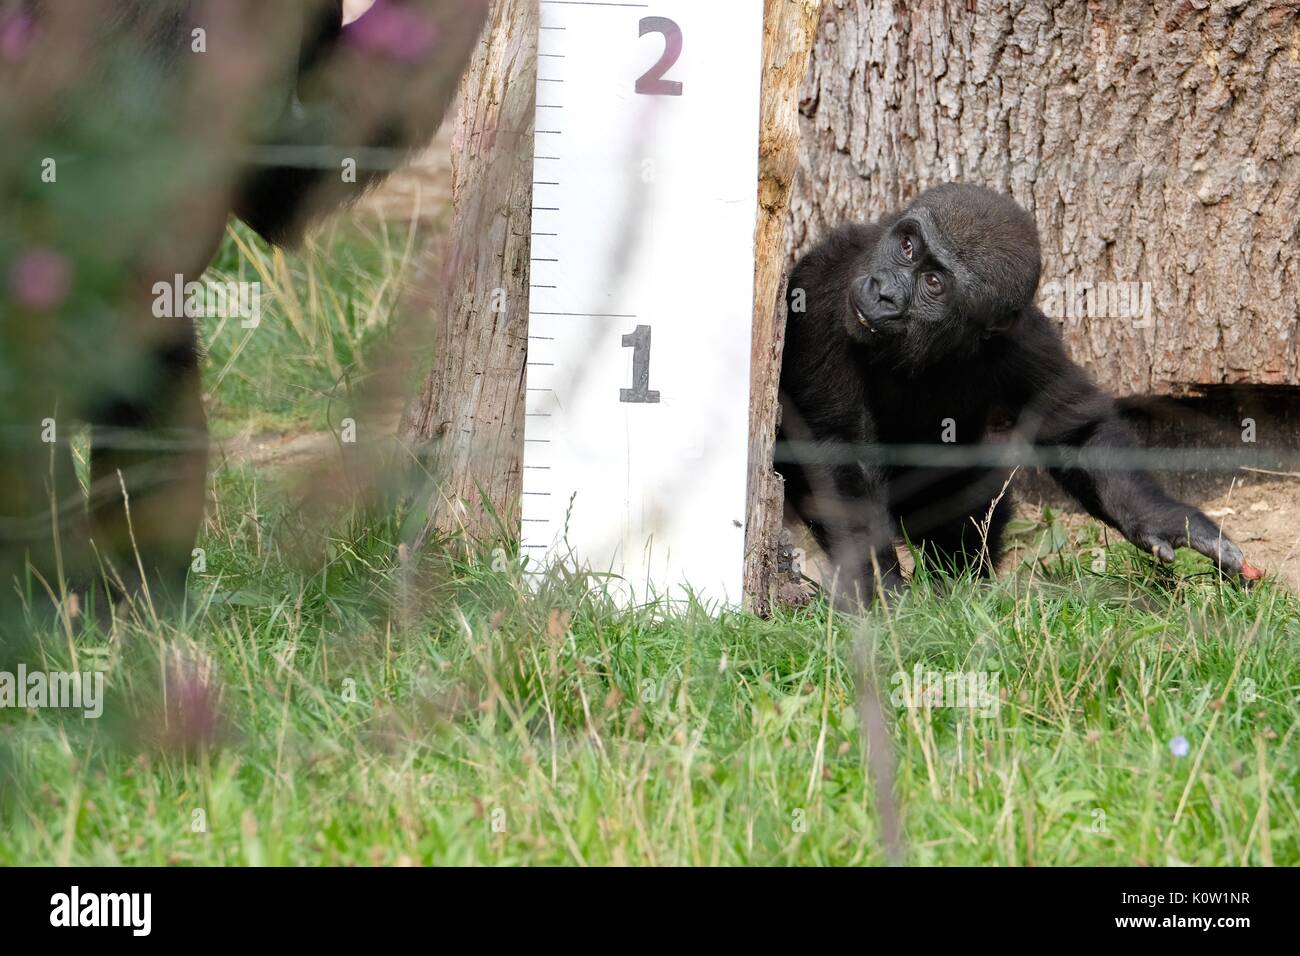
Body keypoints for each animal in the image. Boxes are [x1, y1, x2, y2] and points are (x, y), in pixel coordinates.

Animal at [774, 182, 1253, 606]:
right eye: (907, 247)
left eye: (933, 283)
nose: (885, 292)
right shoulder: (821, 294)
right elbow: (838, 452)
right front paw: (879, 588)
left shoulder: (1022, 338)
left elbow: (1078, 432)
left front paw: (1160, 518)